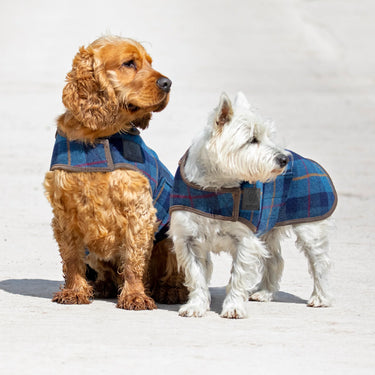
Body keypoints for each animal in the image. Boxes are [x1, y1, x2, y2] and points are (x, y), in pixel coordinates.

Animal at [44, 36, 188, 312]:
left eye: (150, 63)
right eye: (129, 63)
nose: (168, 83)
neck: (97, 136)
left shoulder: (138, 210)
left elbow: (132, 261)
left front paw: (135, 296)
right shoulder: (65, 212)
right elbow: (71, 258)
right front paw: (74, 292)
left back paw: (170, 290)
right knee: (105, 271)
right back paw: (101, 285)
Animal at [168, 92, 338, 318]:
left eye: (267, 136)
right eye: (252, 140)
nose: (284, 159)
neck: (218, 186)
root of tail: (308, 160)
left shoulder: (244, 239)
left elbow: (238, 276)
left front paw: (233, 307)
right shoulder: (188, 240)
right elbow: (196, 276)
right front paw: (196, 306)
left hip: (309, 227)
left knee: (320, 261)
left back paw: (321, 297)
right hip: (268, 228)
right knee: (275, 259)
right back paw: (265, 292)